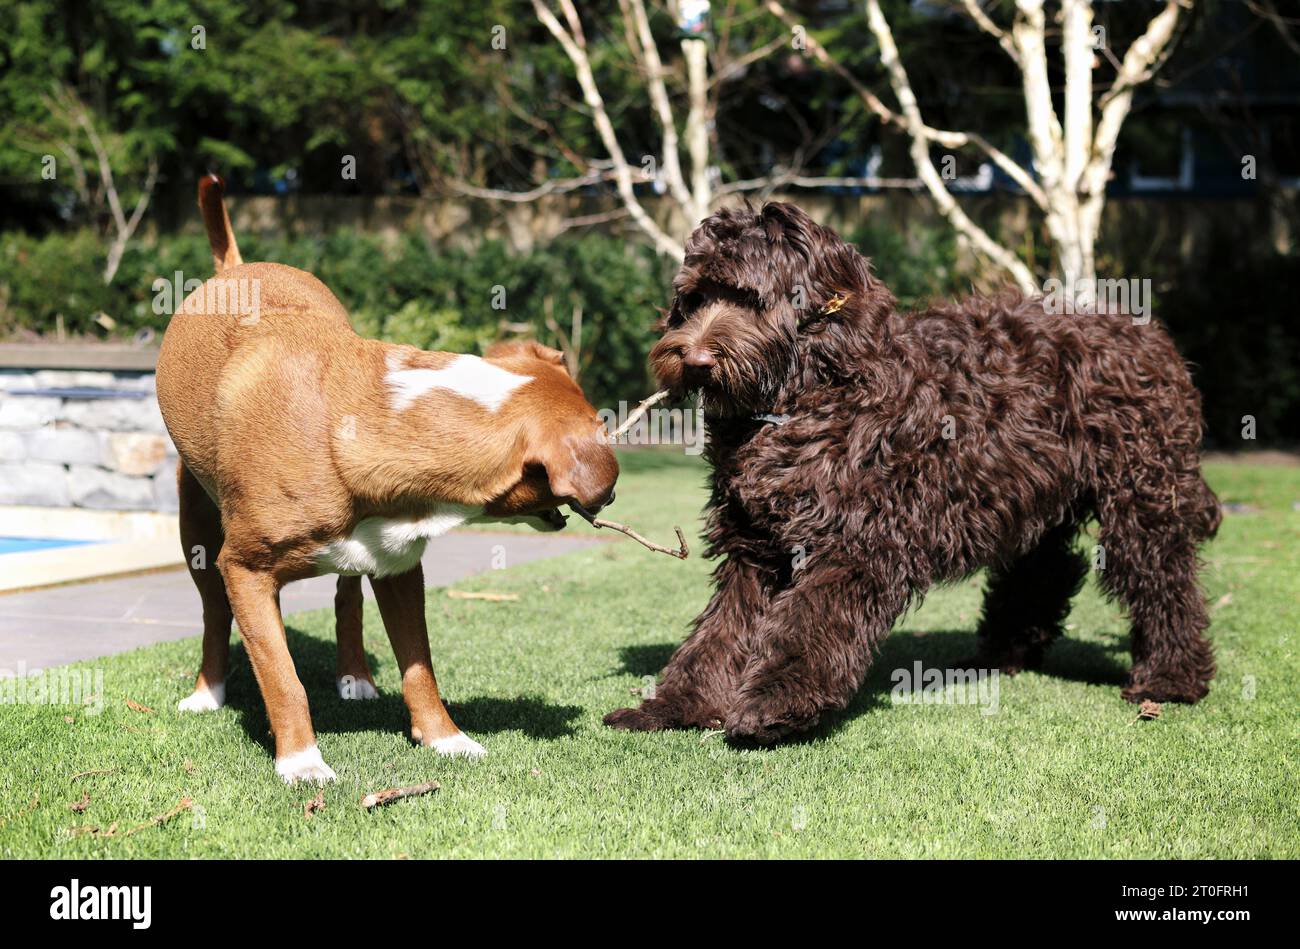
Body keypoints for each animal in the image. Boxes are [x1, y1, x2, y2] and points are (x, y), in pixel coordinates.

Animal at [156, 174, 613, 780]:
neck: (357, 417)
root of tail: (237, 264)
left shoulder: (399, 567)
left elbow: (420, 666)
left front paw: (444, 738)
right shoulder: (245, 570)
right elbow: (281, 676)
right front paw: (301, 762)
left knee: (346, 598)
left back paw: (355, 675)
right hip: (199, 531)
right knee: (213, 611)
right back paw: (208, 691)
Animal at [603, 202, 1222, 743]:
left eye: (748, 298)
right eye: (695, 297)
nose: (694, 360)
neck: (810, 391)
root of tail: (1152, 336)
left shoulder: (857, 540)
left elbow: (806, 621)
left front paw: (774, 704)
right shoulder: (756, 544)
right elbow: (720, 632)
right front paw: (673, 706)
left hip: (1141, 496)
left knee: (1164, 579)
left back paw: (1171, 678)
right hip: (1036, 496)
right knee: (1044, 571)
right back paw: (998, 656)